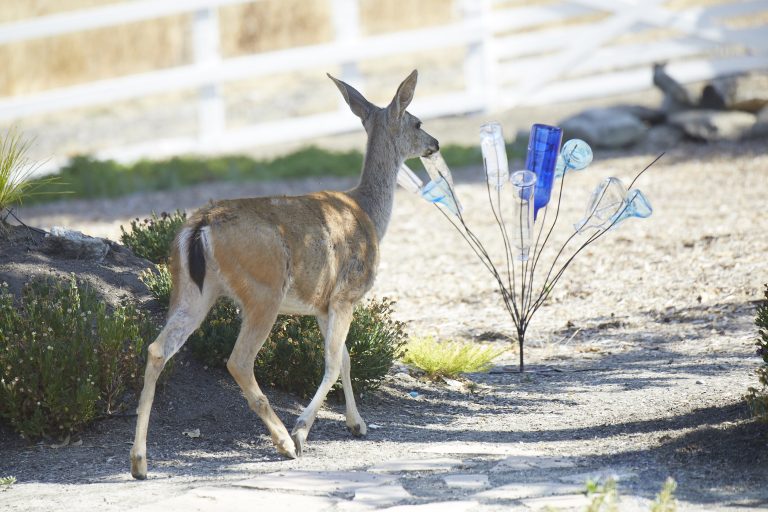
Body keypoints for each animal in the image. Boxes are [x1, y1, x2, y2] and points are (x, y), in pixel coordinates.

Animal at [130, 70, 439, 479]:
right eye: (417, 122)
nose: (435, 144)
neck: (368, 213)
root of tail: (201, 225)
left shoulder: (324, 304)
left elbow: (345, 358)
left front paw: (357, 424)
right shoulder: (346, 294)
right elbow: (333, 361)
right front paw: (303, 430)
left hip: (191, 291)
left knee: (157, 349)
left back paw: (139, 461)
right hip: (264, 290)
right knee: (238, 360)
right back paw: (284, 443)